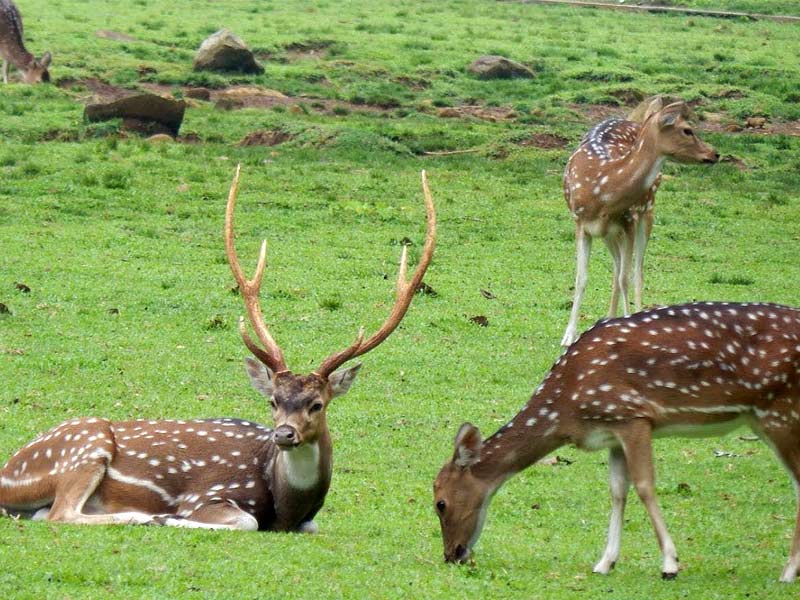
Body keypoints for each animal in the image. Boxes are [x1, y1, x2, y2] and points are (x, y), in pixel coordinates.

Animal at [1, 166, 438, 532]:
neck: (286, 506)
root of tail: (8, 472)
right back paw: (142, 516)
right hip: (83, 450)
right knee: (59, 513)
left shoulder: (307, 522)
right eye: (273, 401)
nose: (284, 434)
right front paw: (171, 518)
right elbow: (244, 521)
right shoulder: (208, 494)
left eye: (317, 404)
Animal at [434, 302, 800, 584]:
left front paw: (670, 564)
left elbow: (645, 486)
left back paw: (786, 573)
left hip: (780, 412)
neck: (568, 407)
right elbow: (616, 491)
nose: (452, 554)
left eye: (440, 503)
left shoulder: (632, 415)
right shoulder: (611, 434)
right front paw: (604, 563)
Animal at [560, 99, 720, 346]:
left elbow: (627, 277)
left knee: (636, 271)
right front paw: (568, 335)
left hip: (647, 210)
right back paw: (608, 318)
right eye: (687, 130)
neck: (602, 190)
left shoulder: (629, 220)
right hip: (609, 233)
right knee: (617, 267)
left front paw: (628, 323)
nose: (715, 153)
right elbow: (582, 278)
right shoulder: (581, 223)